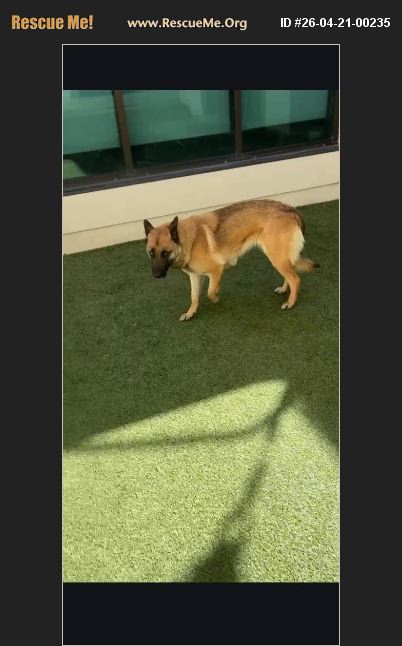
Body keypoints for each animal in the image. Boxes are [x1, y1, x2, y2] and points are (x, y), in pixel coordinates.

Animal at [143, 199, 319, 321]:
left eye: (165, 253)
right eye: (151, 253)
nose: (156, 275)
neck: (188, 240)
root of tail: (290, 209)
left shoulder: (216, 269)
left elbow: (210, 292)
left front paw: (216, 296)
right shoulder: (195, 276)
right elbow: (194, 296)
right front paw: (190, 312)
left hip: (276, 257)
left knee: (295, 279)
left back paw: (290, 303)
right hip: (280, 258)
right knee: (290, 275)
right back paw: (284, 290)